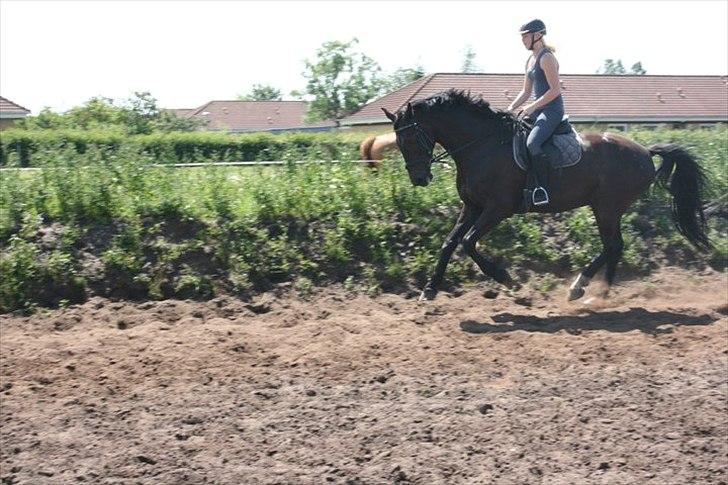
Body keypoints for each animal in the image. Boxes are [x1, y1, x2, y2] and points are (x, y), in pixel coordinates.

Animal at [384, 88, 708, 298]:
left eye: (411, 138)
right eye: (397, 142)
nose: (420, 179)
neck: (481, 145)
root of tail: (645, 151)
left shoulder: (498, 209)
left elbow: (467, 242)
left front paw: (507, 280)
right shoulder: (472, 206)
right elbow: (449, 243)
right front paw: (430, 289)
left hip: (608, 207)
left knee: (614, 245)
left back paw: (587, 290)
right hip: (605, 207)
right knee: (613, 247)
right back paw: (596, 292)